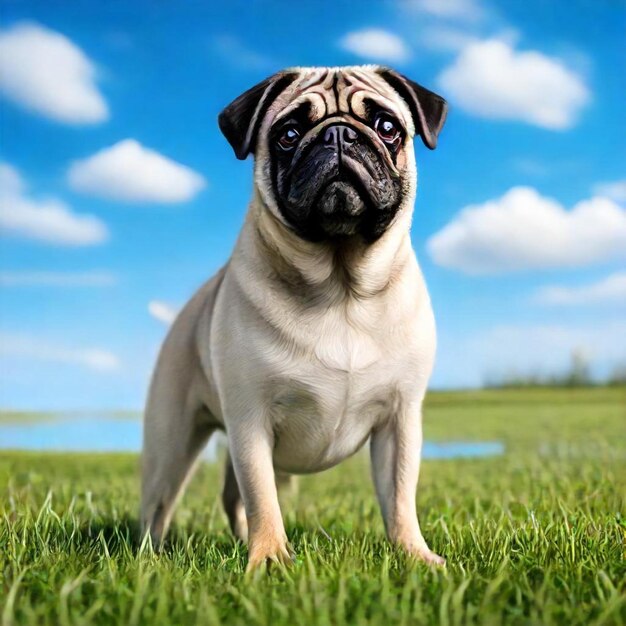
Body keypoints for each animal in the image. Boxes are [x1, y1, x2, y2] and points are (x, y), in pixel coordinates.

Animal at [140, 66, 444, 568]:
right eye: (288, 134)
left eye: (387, 127)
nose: (339, 133)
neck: (341, 287)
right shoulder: (250, 422)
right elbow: (263, 497)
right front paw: (269, 560)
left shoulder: (399, 422)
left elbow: (400, 497)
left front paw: (414, 555)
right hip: (171, 441)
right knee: (159, 503)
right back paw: (149, 557)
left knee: (231, 496)